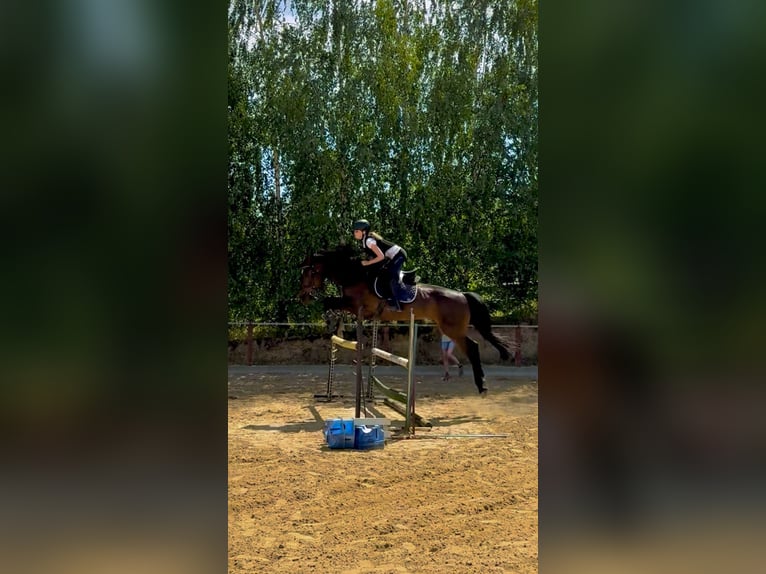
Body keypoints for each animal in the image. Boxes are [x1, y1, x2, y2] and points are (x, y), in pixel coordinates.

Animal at [298, 245, 513, 395]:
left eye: (309, 272)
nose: (303, 297)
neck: (354, 275)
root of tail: (462, 295)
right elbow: (332, 303)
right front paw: (334, 323)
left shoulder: (358, 306)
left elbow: (328, 301)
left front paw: (333, 323)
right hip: (451, 328)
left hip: (453, 329)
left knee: (473, 347)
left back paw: (482, 387)